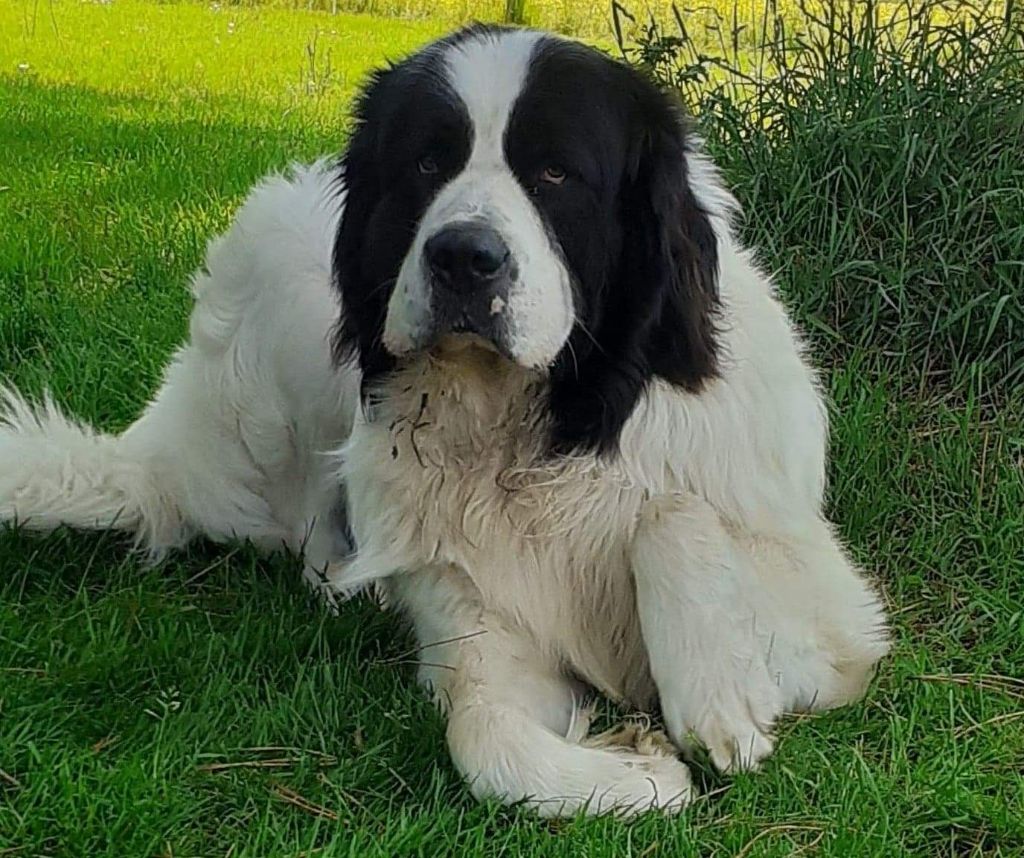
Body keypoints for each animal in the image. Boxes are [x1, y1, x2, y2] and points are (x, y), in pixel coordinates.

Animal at [0, 25, 888, 819]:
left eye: (555, 172)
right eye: (428, 163)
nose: (464, 256)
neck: (538, 436)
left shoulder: (837, 624)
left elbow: (669, 510)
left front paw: (714, 693)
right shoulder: (479, 622)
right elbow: (482, 736)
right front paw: (640, 771)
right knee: (309, 515)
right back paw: (349, 580)